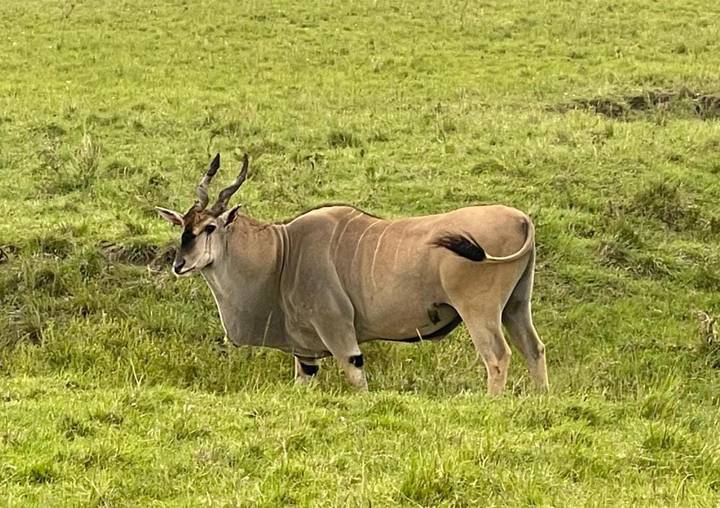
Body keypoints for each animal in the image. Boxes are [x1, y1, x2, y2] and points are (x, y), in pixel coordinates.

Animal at [156, 153, 548, 394]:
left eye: (209, 228)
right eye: (183, 227)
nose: (179, 264)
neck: (282, 254)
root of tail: (521, 219)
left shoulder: (340, 335)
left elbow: (358, 381)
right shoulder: (306, 355)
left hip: (480, 311)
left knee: (497, 356)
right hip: (516, 306)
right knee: (533, 348)